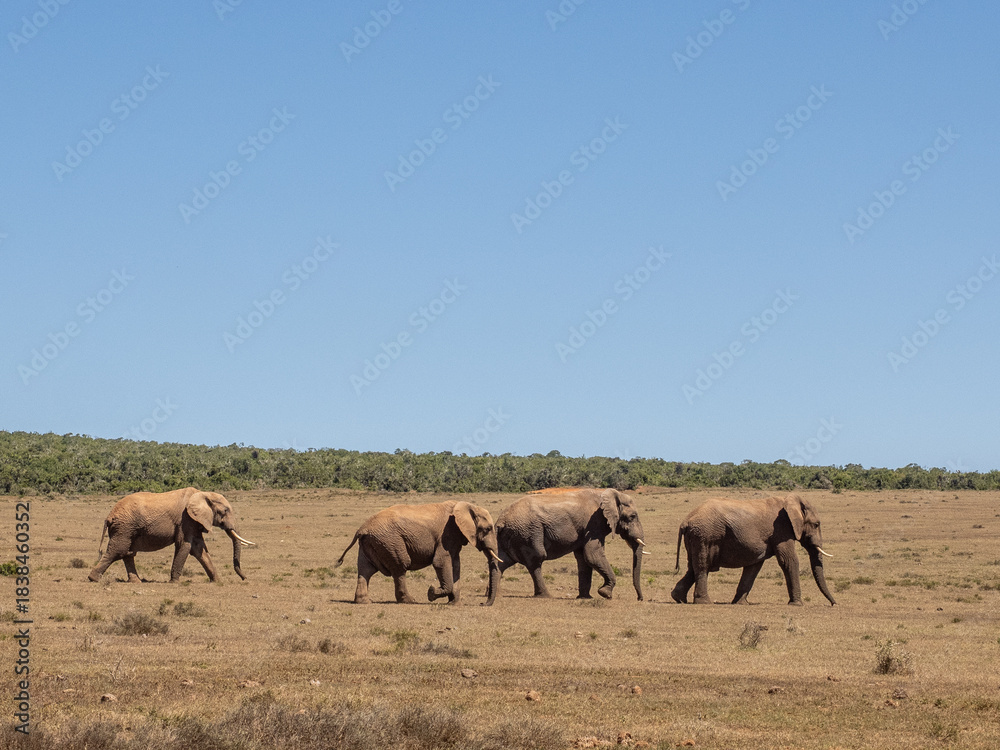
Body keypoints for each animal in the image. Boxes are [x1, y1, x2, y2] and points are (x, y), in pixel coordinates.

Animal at [88, 487, 255, 583]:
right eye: (225, 511)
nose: (245, 578)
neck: (203, 494)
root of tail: (109, 516)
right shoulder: (185, 519)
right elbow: (185, 546)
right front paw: (174, 582)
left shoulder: (193, 522)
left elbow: (199, 549)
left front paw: (217, 581)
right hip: (124, 527)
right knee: (118, 551)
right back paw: (93, 579)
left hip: (127, 528)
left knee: (128, 553)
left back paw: (137, 582)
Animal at [335, 500, 501, 605]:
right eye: (487, 529)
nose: (482, 603)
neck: (468, 506)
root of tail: (361, 529)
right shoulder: (447, 534)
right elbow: (440, 562)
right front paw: (431, 593)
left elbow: (456, 564)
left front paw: (454, 603)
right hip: (390, 541)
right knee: (400, 567)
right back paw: (409, 601)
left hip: (371, 543)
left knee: (365, 570)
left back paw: (364, 602)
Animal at [494, 487, 648, 601]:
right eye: (632, 516)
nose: (639, 599)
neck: (606, 494)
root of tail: (500, 520)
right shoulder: (593, 524)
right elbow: (592, 555)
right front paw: (605, 594)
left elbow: (583, 559)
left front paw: (585, 598)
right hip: (529, 531)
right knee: (536, 560)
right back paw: (546, 596)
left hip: (514, 535)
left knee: (502, 561)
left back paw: (496, 594)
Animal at [671, 494, 835, 606]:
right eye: (816, 524)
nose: (834, 604)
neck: (789, 500)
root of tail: (686, 520)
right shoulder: (782, 530)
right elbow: (788, 561)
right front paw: (797, 604)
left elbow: (754, 566)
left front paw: (740, 603)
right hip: (705, 535)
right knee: (702, 566)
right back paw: (704, 602)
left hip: (696, 537)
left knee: (692, 567)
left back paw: (678, 598)